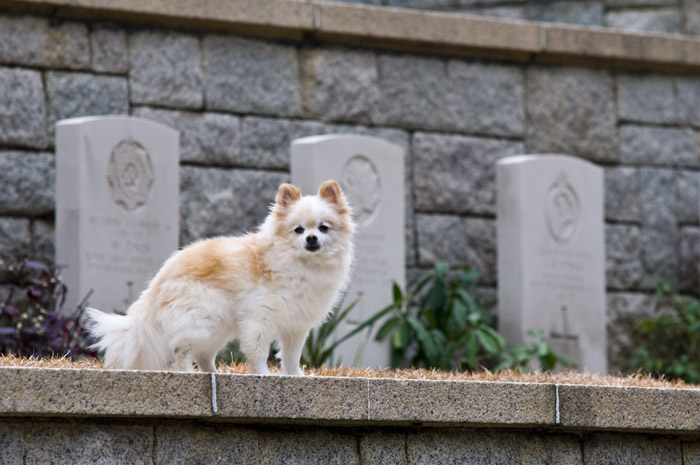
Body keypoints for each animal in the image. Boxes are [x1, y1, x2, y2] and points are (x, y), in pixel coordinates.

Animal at [86, 179, 356, 376]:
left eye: (323, 227)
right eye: (298, 230)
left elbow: (291, 357)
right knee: (181, 349)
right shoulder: (260, 320)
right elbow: (258, 352)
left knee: (204, 355)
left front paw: (296, 377)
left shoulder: (296, 326)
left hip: (217, 326)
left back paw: (213, 374)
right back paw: (189, 374)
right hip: (206, 319)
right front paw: (263, 375)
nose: (311, 238)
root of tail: (158, 282)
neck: (302, 264)